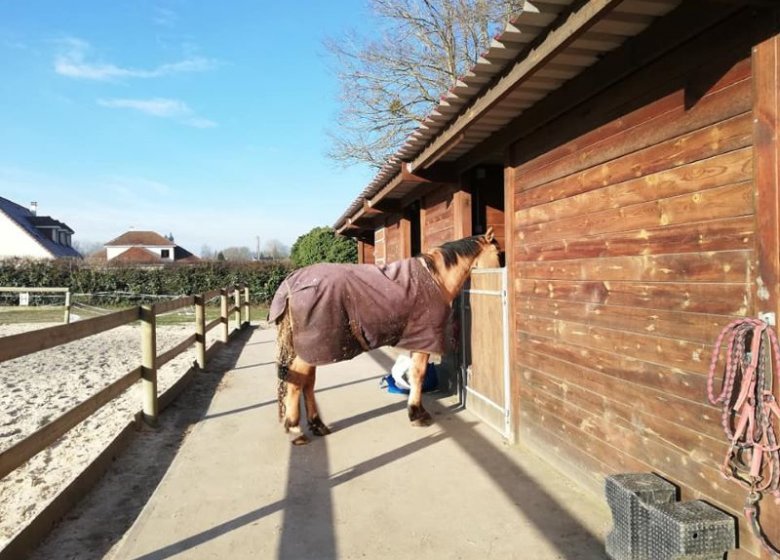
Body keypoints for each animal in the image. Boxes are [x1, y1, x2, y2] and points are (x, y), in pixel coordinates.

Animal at [268, 226, 500, 442]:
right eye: (498, 252)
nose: (499, 270)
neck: (435, 279)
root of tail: (292, 283)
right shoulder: (425, 342)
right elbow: (418, 374)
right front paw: (417, 415)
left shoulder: (418, 342)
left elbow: (413, 374)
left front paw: (416, 411)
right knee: (296, 379)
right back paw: (295, 429)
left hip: (313, 351)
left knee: (307, 381)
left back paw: (317, 425)